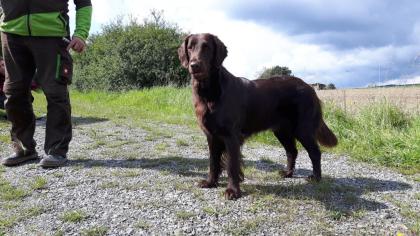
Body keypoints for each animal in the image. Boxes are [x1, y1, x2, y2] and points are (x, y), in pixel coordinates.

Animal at [178, 32, 338, 199]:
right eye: (190, 48)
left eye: (207, 47)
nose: (194, 65)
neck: (210, 92)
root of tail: (310, 88)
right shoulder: (211, 135)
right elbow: (213, 162)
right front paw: (210, 182)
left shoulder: (231, 136)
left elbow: (232, 166)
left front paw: (233, 190)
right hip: (282, 131)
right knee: (292, 151)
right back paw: (287, 173)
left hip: (302, 129)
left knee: (315, 152)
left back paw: (316, 177)